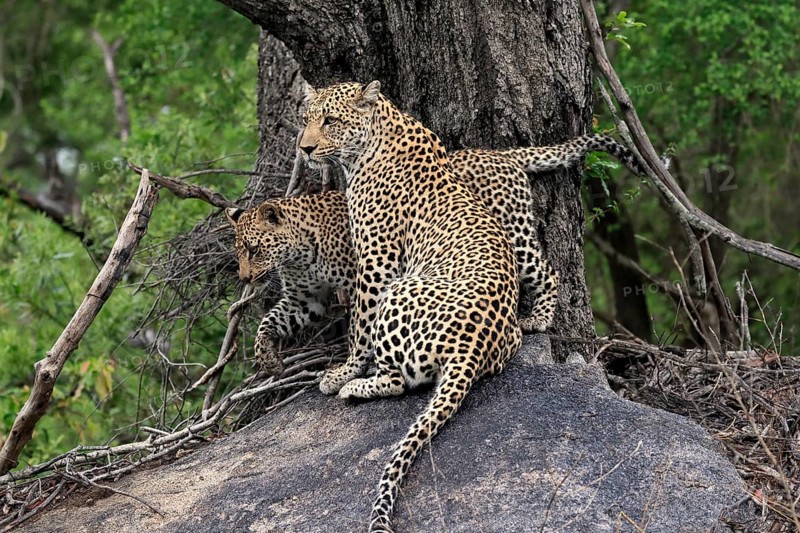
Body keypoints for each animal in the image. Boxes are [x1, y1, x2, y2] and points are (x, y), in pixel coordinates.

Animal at [227, 134, 653, 376]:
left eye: (254, 249)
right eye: (240, 253)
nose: (245, 278)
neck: (297, 255)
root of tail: (502, 155)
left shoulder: (369, 271)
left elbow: (361, 322)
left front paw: (355, 360)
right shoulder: (304, 300)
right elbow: (267, 322)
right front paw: (267, 359)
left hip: (512, 231)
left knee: (548, 273)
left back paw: (538, 319)